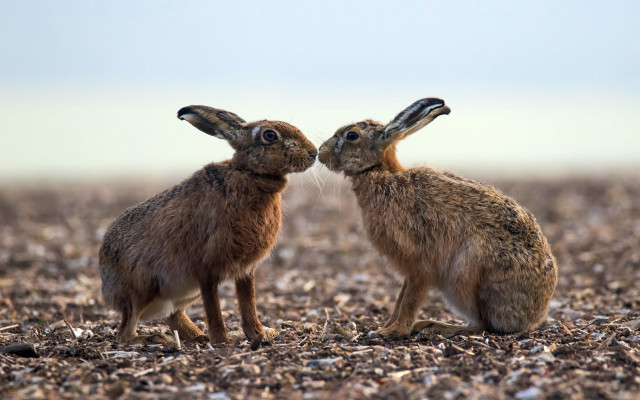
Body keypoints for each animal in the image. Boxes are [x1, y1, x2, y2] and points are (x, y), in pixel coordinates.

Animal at [99, 105, 317, 350]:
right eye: (269, 135)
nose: (313, 153)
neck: (249, 174)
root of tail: (105, 280)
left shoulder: (245, 270)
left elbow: (248, 303)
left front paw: (258, 335)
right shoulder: (207, 268)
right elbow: (214, 309)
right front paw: (222, 341)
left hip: (185, 291)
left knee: (172, 315)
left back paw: (198, 337)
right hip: (143, 290)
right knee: (125, 332)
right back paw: (155, 338)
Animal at [318, 98, 558, 338]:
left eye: (351, 135)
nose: (321, 152)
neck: (379, 172)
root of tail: (534, 316)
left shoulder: (418, 260)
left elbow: (410, 298)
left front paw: (393, 330)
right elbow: (401, 297)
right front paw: (387, 325)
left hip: (465, 274)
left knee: (479, 325)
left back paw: (434, 326)